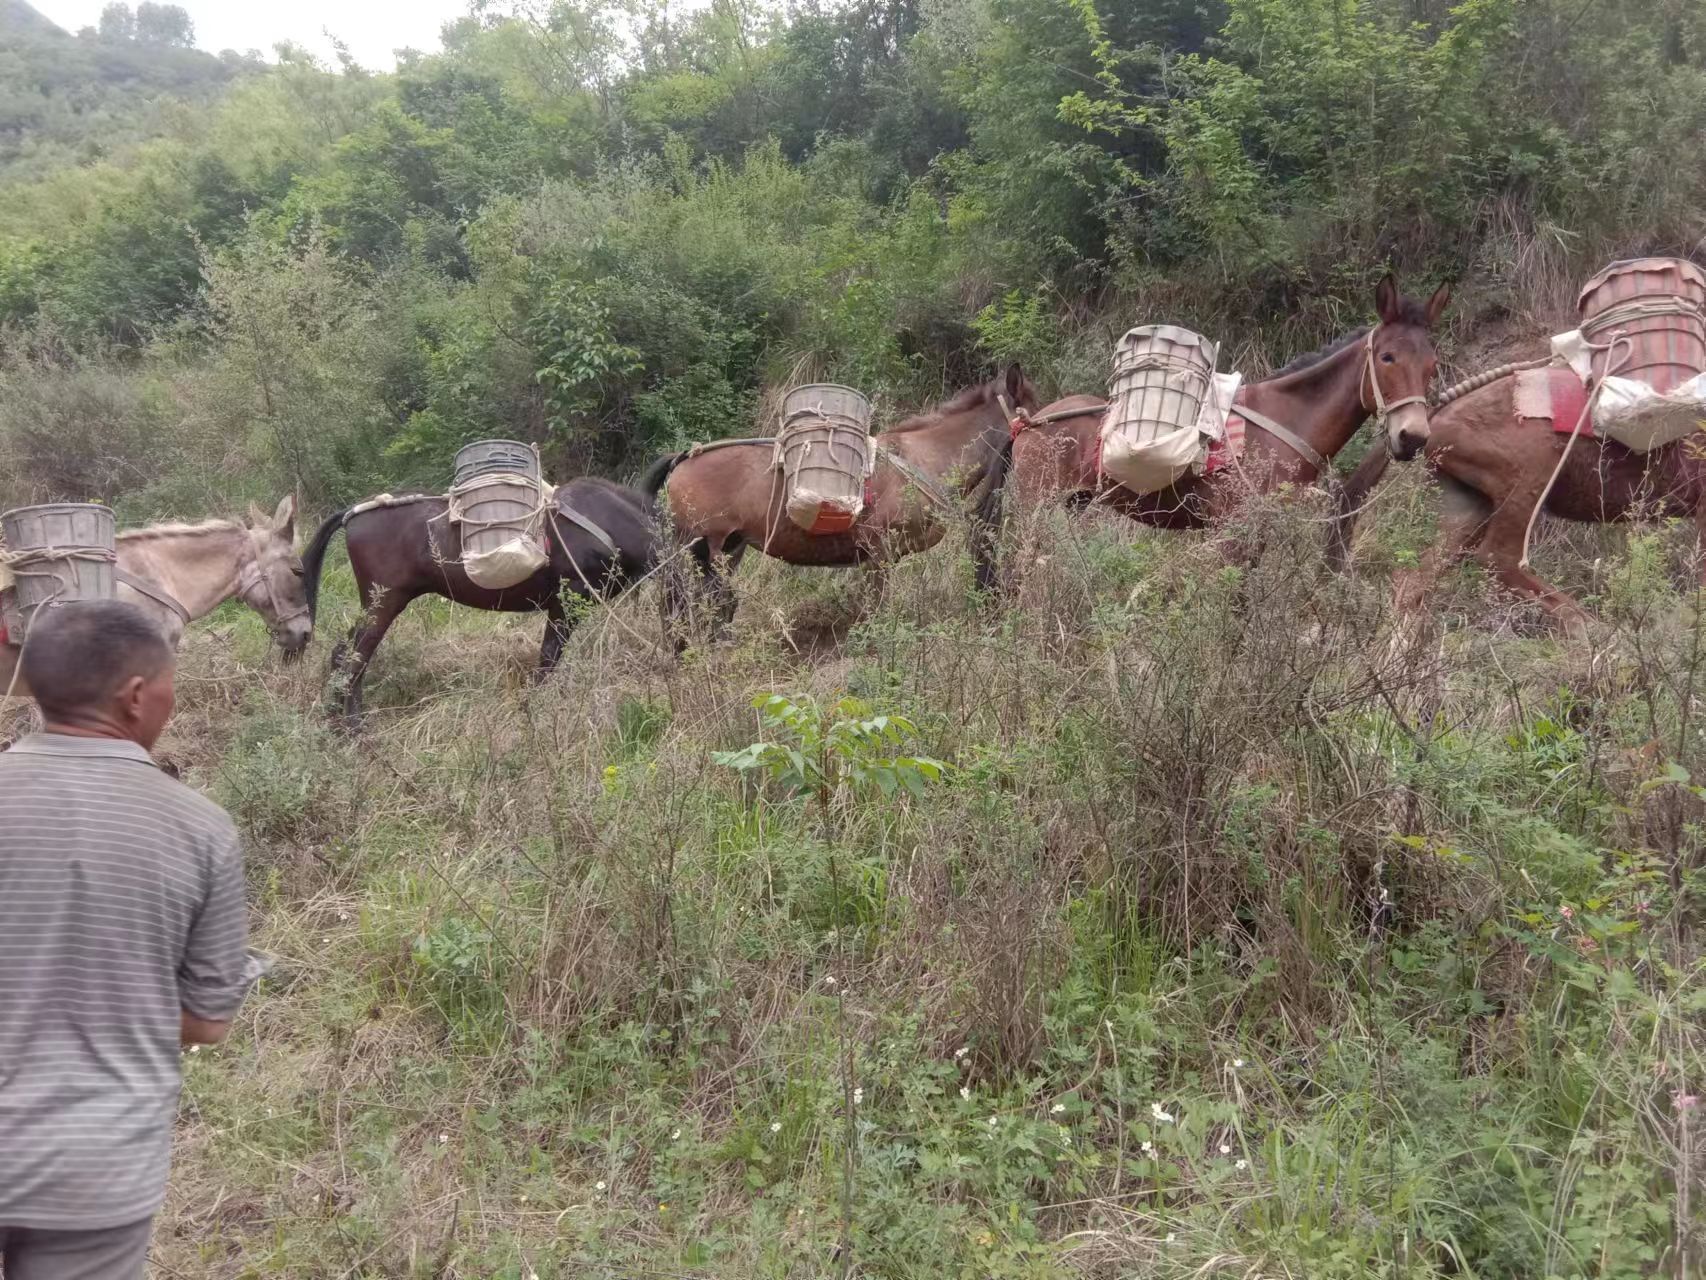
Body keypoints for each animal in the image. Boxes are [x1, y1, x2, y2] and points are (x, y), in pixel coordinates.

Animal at [301, 477, 658, 723]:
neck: (604, 519)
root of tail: (352, 514)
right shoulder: (566, 602)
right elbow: (547, 659)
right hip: (384, 603)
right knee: (353, 659)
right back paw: (354, 727)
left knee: (344, 656)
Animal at [641, 363, 1037, 641]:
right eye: (1034, 408)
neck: (923, 459)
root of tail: (683, 458)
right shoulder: (878, 553)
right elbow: (878, 609)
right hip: (696, 550)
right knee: (680, 606)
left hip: (728, 551)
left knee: (715, 604)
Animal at [1009, 279, 1453, 535]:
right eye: (1387, 357)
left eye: (1433, 364)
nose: (1412, 436)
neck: (1286, 421)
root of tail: (1029, 422)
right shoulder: (1232, 531)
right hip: (1037, 506)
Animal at [1330, 365, 1706, 638]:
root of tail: (1436, 417)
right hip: (1531, 475)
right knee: (1498, 559)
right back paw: (1596, 633)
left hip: (1470, 507)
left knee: (1414, 581)